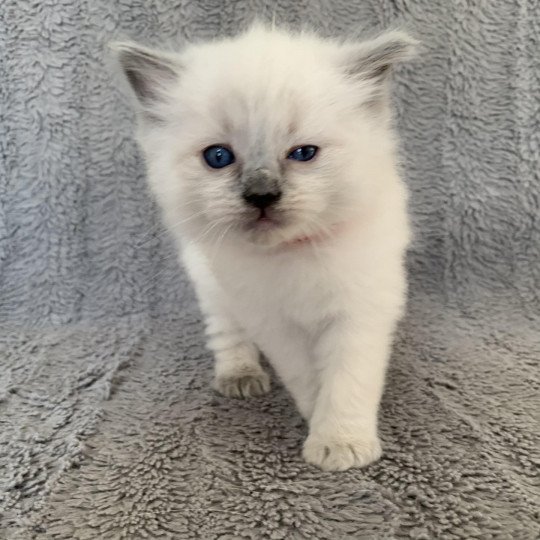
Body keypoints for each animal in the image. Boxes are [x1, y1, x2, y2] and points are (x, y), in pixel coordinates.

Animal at [115, 25, 418, 470]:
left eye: (304, 154)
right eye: (218, 157)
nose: (261, 194)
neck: (293, 252)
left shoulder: (358, 312)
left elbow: (346, 381)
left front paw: (340, 442)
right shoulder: (271, 319)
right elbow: (306, 376)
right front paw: (316, 420)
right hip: (209, 280)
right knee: (225, 331)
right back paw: (240, 376)